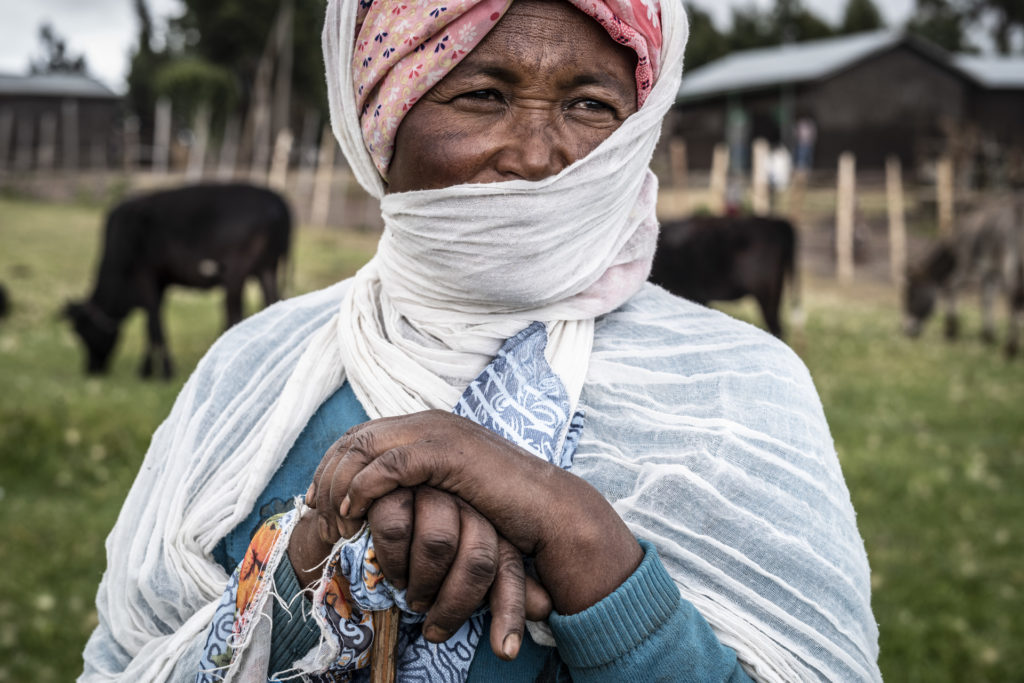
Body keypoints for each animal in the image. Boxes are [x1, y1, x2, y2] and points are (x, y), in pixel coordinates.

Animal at [64, 184, 290, 378]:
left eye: (82, 332)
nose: (91, 370)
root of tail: (277, 200)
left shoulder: (144, 273)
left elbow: (154, 321)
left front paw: (163, 372)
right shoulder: (161, 280)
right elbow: (152, 321)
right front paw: (147, 370)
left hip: (236, 272)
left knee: (234, 315)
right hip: (266, 269)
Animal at [905, 194, 1024, 358]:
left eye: (912, 295)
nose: (907, 332)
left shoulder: (966, 266)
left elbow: (951, 287)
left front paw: (951, 332)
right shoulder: (989, 272)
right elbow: (987, 300)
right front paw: (988, 337)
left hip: (1009, 271)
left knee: (1013, 301)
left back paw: (1010, 349)